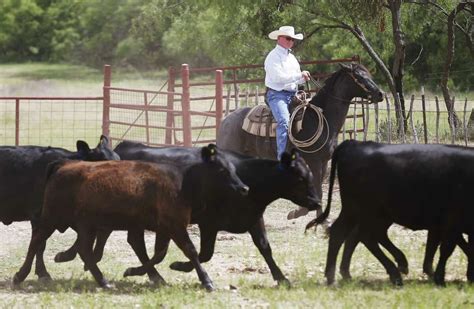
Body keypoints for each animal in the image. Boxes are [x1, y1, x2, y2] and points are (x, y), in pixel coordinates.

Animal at [12, 144, 248, 288]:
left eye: (233, 168)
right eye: (222, 170)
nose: (244, 188)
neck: (182, 183)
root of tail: (64, 165)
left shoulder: (160, 227)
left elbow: (155, 253)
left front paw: (142, 272)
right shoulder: (175, 225)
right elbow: (189, 250)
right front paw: (206, 280)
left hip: (86, 223)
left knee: (84, 249)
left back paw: (103, 280)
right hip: (52, 217)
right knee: (37, 242)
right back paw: (20, 275)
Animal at [57, 141, 320, 286]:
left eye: (310, 175)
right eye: (300, 178)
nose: (316, 201)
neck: (250, 179)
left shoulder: (254, 218)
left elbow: (265, 248)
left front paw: (281, 277)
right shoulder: (208, 223)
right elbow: (204, 253)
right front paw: (180, 267)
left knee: (119, 238)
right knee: (128, 240)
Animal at [217, 62, 384, 217]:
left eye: (369, 74)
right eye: (360, 77)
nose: (380, 94)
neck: (320, 118)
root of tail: (226, 121)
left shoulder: (324, 162)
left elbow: (318, 190)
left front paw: (302, 213)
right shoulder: (314, 161)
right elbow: (318, 191)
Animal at [310, 141, 472, 286]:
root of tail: (355, 143)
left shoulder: (441, 224)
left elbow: (435, 245)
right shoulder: (452, 220)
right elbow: (448, 248)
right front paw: (441, 278)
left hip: (373, 214)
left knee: (361, 235)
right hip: (359, 210)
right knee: (350, 234)